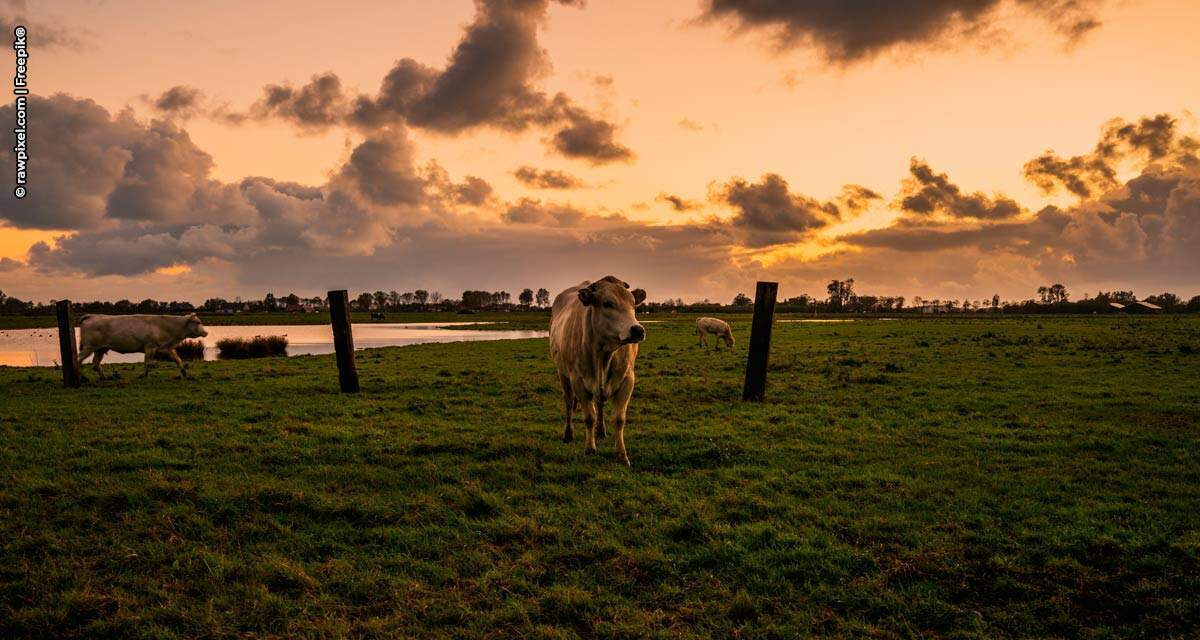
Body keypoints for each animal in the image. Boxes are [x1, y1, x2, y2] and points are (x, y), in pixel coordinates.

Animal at [77, 312, 208, 377]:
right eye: (198, 322)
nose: (206, 332)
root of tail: (92, 316)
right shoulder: (150, 347)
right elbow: (148, 363)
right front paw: (144, 375)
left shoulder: (166, 348)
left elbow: (177, 359)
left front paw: (184, 373)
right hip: (89, 347)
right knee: (79, 360)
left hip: (100, 349)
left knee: (95, 364)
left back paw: (103, 378)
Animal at [549, 274, 648, 463]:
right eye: (607, 303)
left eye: (633, 304)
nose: (637, 330)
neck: (604, 355)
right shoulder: (578, 381)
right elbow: (589, 417)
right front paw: (589, 449)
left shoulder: (628, 380)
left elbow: (619, 419)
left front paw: (621, 454)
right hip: (562, 374)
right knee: (568, 403)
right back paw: (568, 434)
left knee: (600, 403)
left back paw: (601, 432)